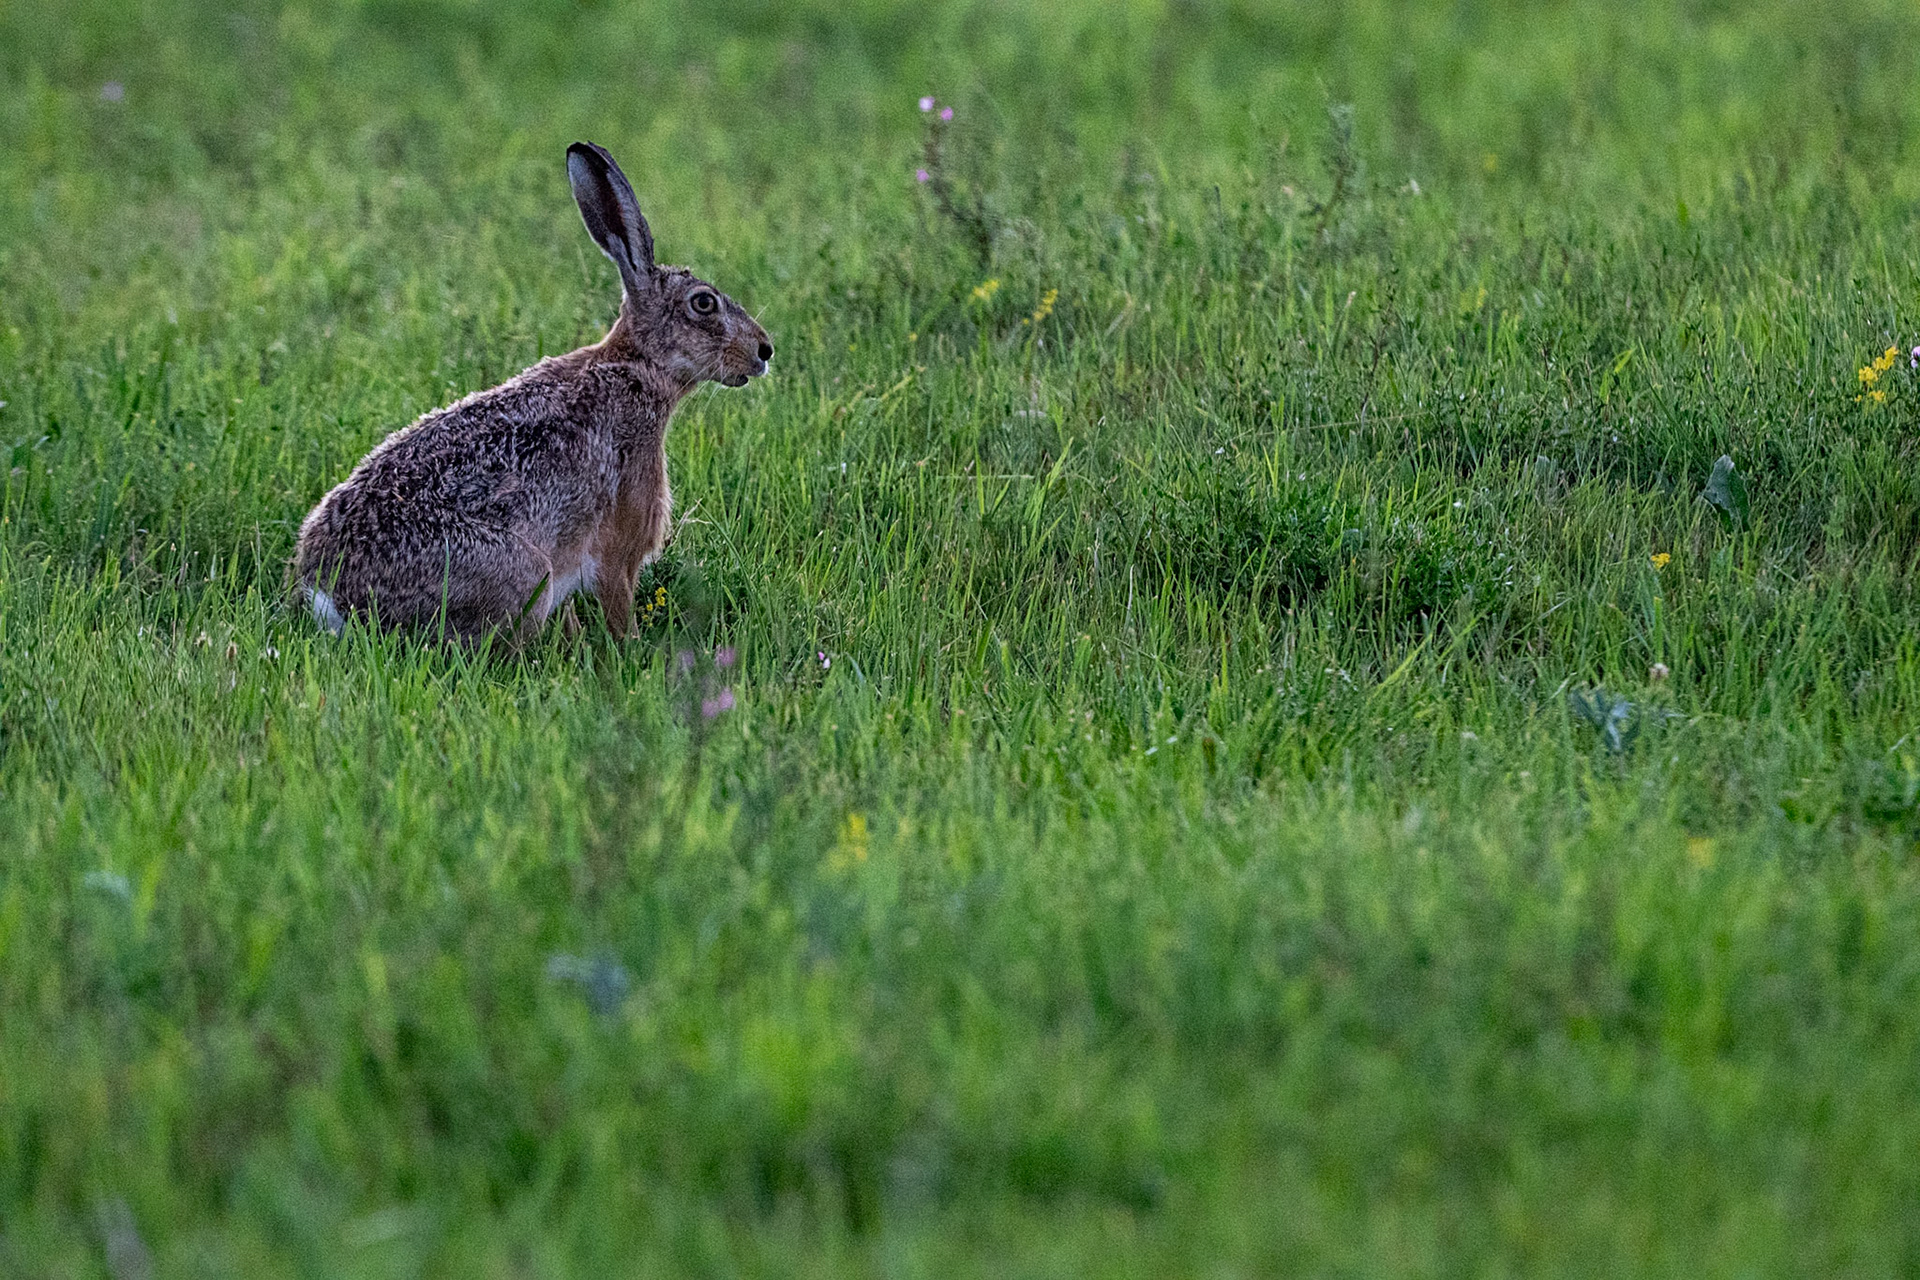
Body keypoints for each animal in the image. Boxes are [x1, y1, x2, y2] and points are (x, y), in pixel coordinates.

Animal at [293, 141, 772, 643]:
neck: (639, 366)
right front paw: (632, 650)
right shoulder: (619, 544)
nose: (764, 350)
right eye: (704, 303)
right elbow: (618, 604)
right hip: (523, 572)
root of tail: (334, 599)